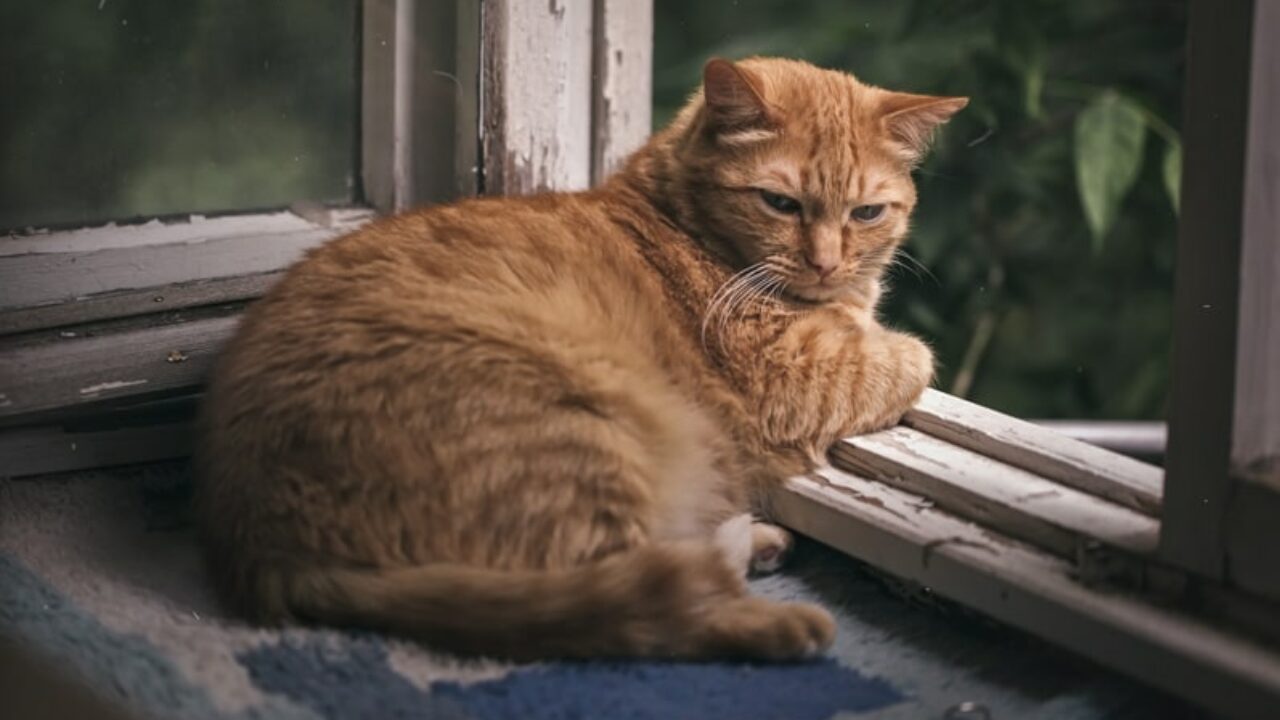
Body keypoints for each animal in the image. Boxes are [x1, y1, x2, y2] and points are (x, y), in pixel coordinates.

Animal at [194, 58, 962, 661]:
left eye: (867, 214)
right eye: (779, 202)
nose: (828, 264)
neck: (679, 221)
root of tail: (266, 541)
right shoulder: (795, 376)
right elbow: (907, 357)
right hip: (584, 431)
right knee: (644, 607)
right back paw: (775, 612)